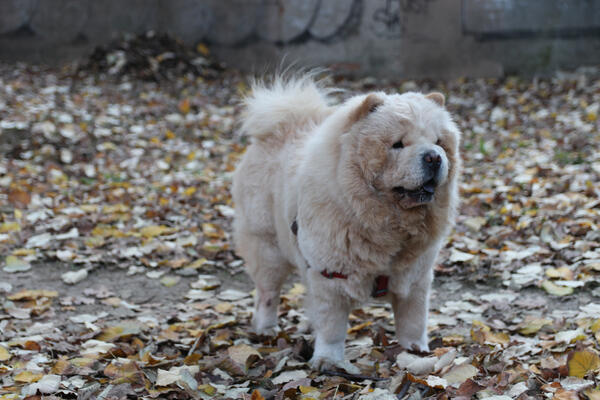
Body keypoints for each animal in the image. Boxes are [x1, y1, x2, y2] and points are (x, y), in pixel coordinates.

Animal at [232, 73, 462, 374]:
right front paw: (328, 361)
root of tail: (281, 125)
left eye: (438, 141)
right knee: (267, 293)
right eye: (398, 144)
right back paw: (266, 329)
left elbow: (413, 321)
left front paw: (416, 352)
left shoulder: (415, 278)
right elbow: (332, 326)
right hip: (268, 247)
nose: (434, 156)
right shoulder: (331, 274)